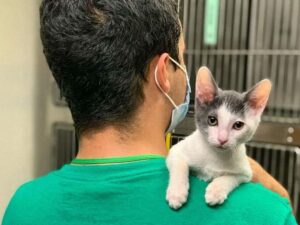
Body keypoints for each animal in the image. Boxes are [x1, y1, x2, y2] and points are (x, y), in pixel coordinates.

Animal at [166, 66, 272, 209]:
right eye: (212, 120)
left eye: (238, 125)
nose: (222, 139)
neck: (215, 154)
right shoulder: (175, 151)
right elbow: (180, 165)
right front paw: (177, 193)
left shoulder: (245, 172)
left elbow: (232, 177)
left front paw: (216, 190)